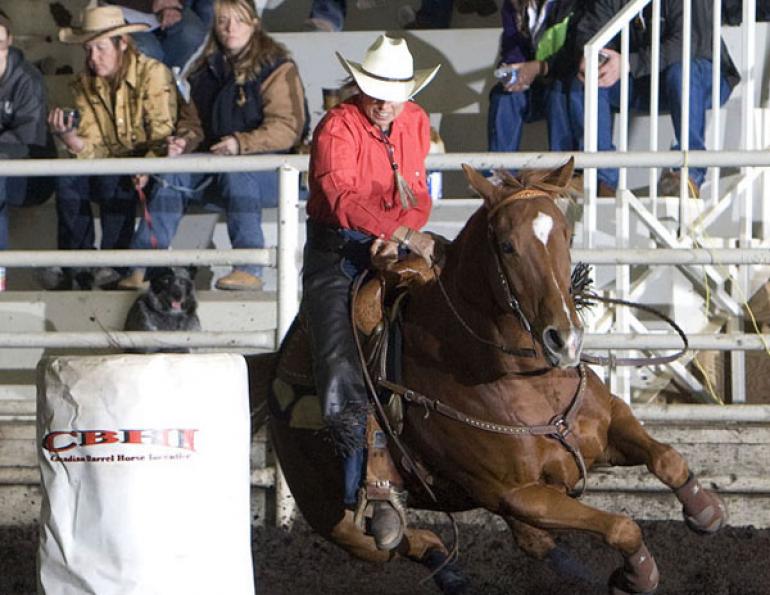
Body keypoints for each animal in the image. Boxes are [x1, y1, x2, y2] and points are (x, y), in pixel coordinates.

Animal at [247, 158, 727, 594]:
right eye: (508, 246)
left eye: (566, 235)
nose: (565, 340)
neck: (525, 378)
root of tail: (273, 368)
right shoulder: (518, 495)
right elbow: (622, 526)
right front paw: (637, 575)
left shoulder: (609, 426)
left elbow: (667, 458)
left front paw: (706, 511)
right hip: (337, 521)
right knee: (411, 540)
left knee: (525, 543)